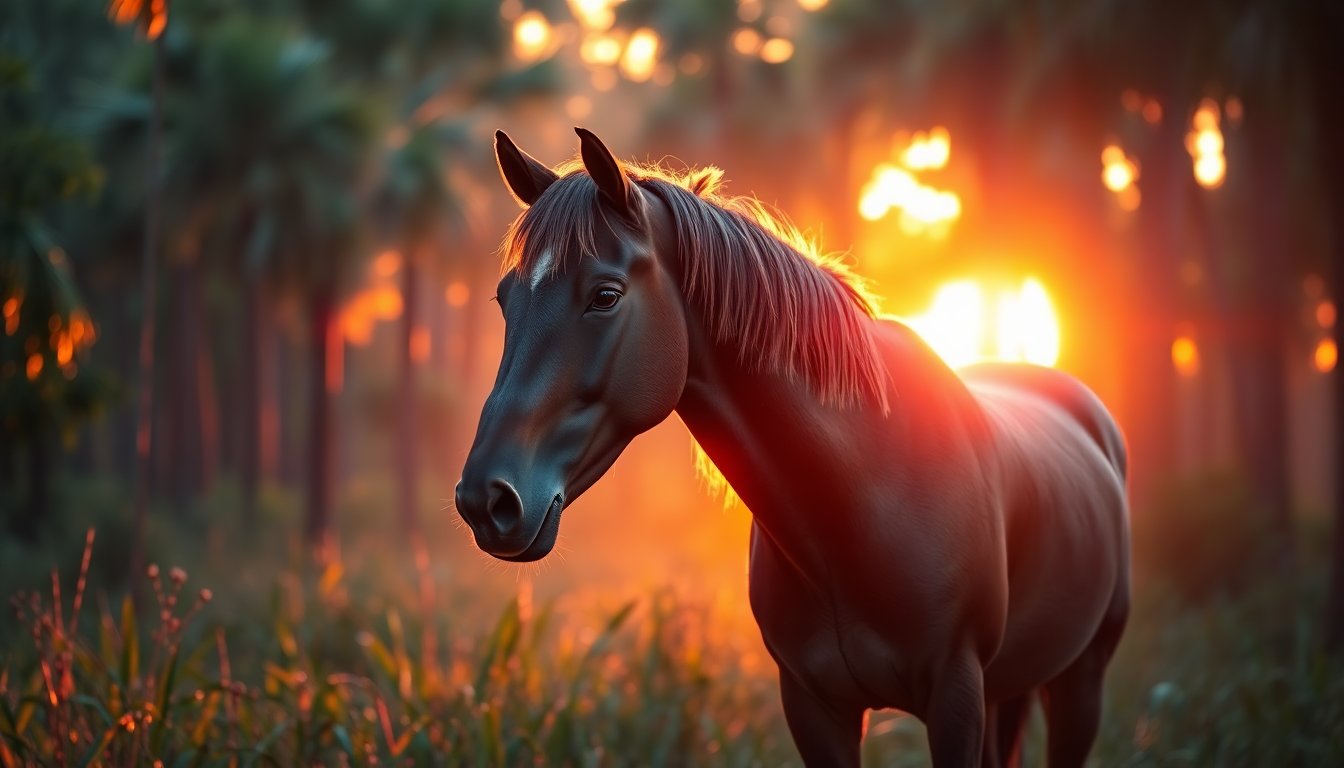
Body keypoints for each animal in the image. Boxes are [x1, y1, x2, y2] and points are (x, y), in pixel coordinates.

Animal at [454, 127, 1130, 767]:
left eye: (605, 295)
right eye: (504, 299)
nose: (486, 500)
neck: (860, 501)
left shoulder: (956, 698)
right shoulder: (813, 706)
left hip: (1080, 684)